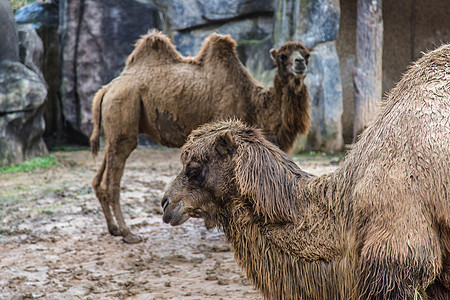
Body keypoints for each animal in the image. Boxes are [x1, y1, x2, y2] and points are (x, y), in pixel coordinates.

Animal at [89, 29, 312, 244]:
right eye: (283, 56)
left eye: (307, 55)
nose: (299, 63)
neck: (251, 102)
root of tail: (107, 89)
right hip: (124, 112)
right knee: (112, 182)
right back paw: (128, 233)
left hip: (114, 133)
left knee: (99, 177)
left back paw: (114, 229)